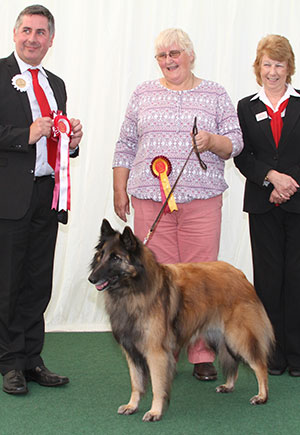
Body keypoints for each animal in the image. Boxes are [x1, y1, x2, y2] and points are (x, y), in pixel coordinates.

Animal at [88, 221, 274, 422]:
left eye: (115, 258)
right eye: (100, 255)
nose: (91, 278)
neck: (132, 290)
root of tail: (241, 274)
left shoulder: (156, 353)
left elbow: (157, 387)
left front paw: (155, 412)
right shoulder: (132, 352)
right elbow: (136, 384)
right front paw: (132, 406)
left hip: (237, 337)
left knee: (260, 365)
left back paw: (262, 396)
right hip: (220, 338)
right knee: (234, 362)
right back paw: (229, 385)